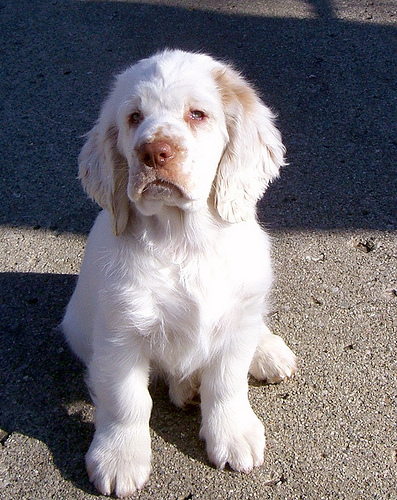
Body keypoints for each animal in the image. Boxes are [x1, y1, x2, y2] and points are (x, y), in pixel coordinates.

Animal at [61, 49, 296, 496]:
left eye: (197, 114)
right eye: (134, 117)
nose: (154, 152)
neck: (184, 240)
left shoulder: (234, 324)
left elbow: (227, 383)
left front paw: (234, 434)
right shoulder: (120, 335)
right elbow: (126, 401)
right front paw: (120, 458)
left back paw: (267, 352)